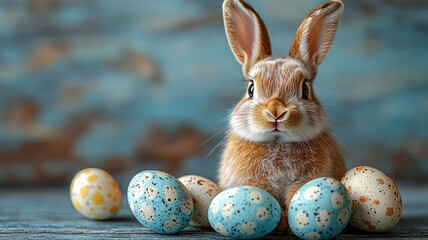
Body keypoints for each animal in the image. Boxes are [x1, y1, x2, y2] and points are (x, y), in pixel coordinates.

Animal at [219, 0, 346, 236]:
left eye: (305, 89)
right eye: (251, 89)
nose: (275, 112)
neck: (278, 143)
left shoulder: (307, 179)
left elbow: (298, 194)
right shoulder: (251, 181)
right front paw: (278, 225)